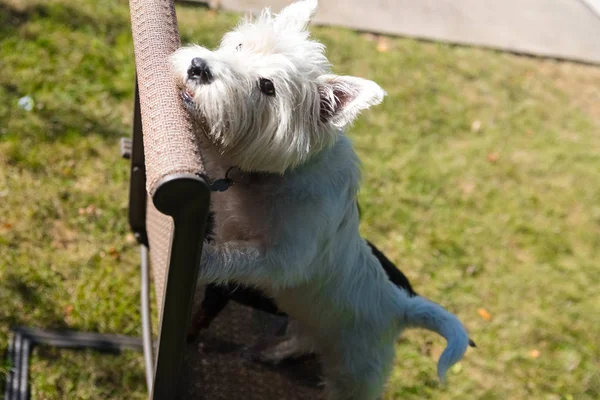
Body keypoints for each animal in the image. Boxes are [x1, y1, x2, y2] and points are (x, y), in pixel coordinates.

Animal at [171, 1, 472, 398]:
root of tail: (400, 308)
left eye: (267, 86)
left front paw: (202, 259)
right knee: (303, 340)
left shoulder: (284, 258)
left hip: (355, 373)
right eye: (239, 46)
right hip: (307, 321)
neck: (272, 178)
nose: (198, 67)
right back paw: (272, 352)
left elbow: (234, 256)